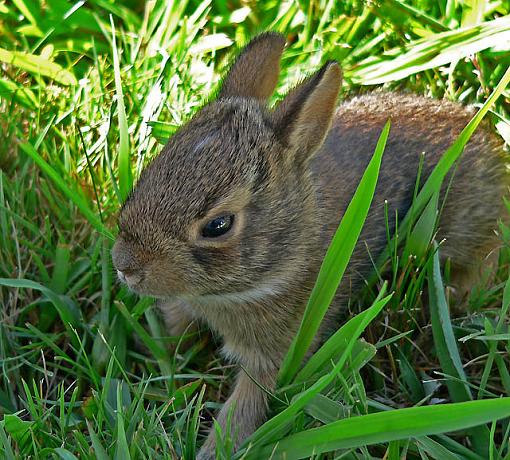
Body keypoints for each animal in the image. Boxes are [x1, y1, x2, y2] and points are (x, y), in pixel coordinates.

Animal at [111, 33, 506, 460]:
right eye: (153, 168)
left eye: (218, 225)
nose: (125, 265)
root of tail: (490, 144)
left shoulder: (275, 356)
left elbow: (246, 407)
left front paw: (215, 449)